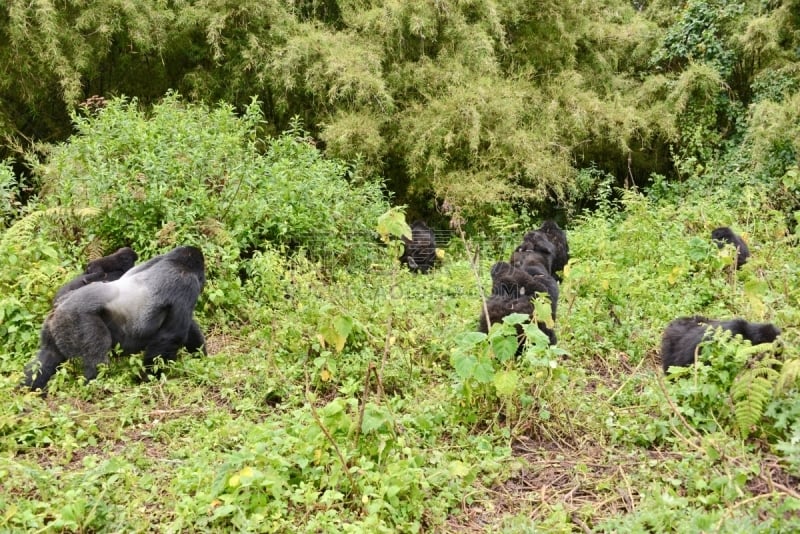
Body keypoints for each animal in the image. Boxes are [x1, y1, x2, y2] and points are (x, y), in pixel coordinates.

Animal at [24, 245, 206, 392]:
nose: (203, 282)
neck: (175, 261)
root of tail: (58, 306)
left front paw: (201, 356)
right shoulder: (185, 283)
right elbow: (172, 335)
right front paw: (149, 378)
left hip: (55, 324)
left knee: (47, 356)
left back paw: (29, 387)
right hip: (75, 318)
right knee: (97, 357)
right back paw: (97, 386)